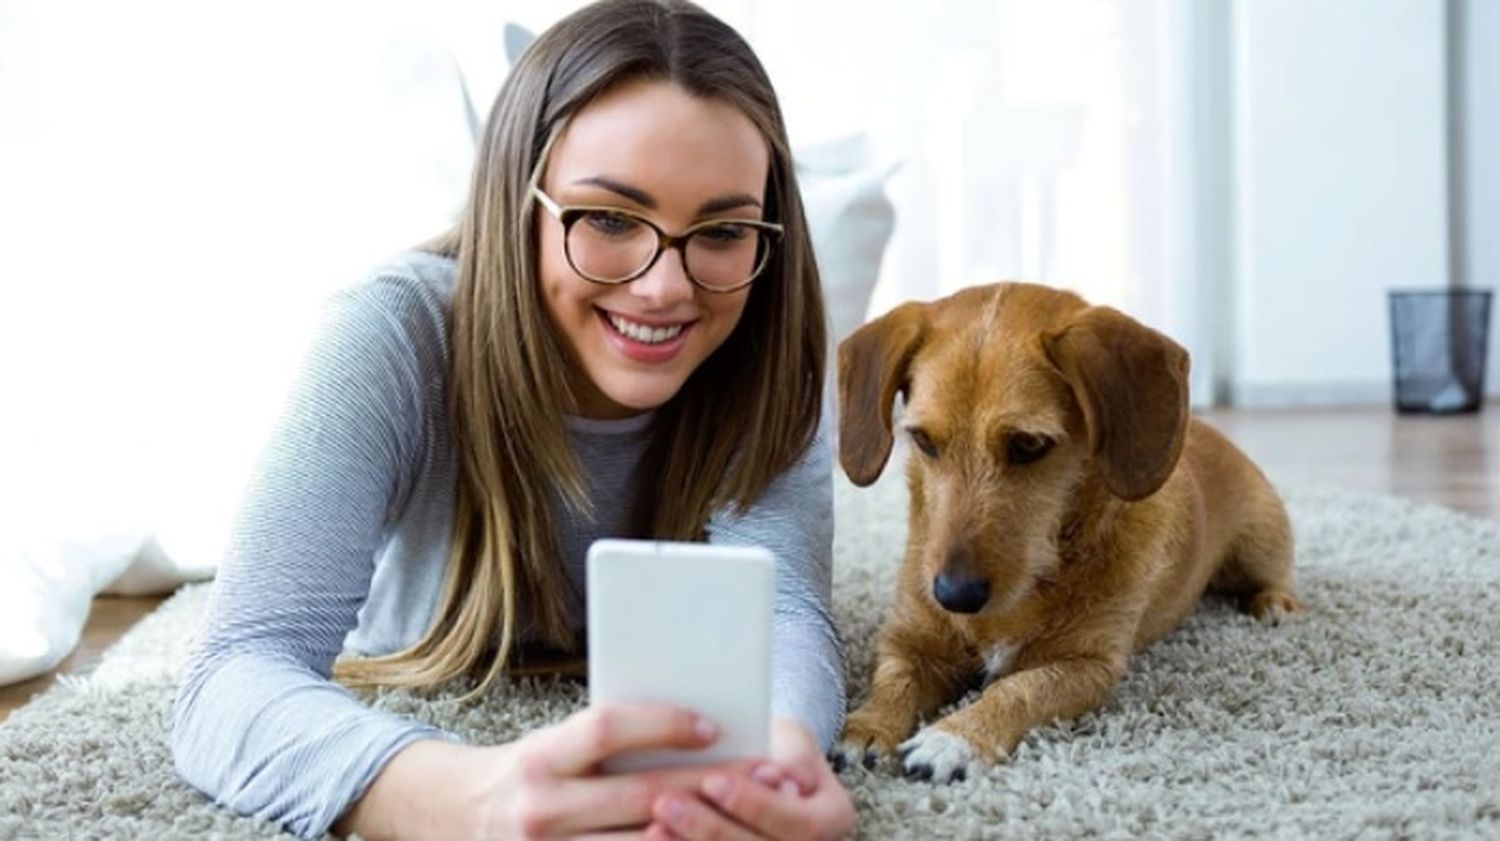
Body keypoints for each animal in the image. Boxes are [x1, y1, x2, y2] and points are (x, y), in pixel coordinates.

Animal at [834, 283, 1302, 779]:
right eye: (923, 440)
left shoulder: (1087, 667)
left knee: (1274, 576)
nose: (953, 596)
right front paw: (866, 727)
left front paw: (956, 737)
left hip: (1260, 544)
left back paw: (1275, 603)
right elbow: (893, 682)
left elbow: (1017, 689)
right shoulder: (909, 644)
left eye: (1028, 444)